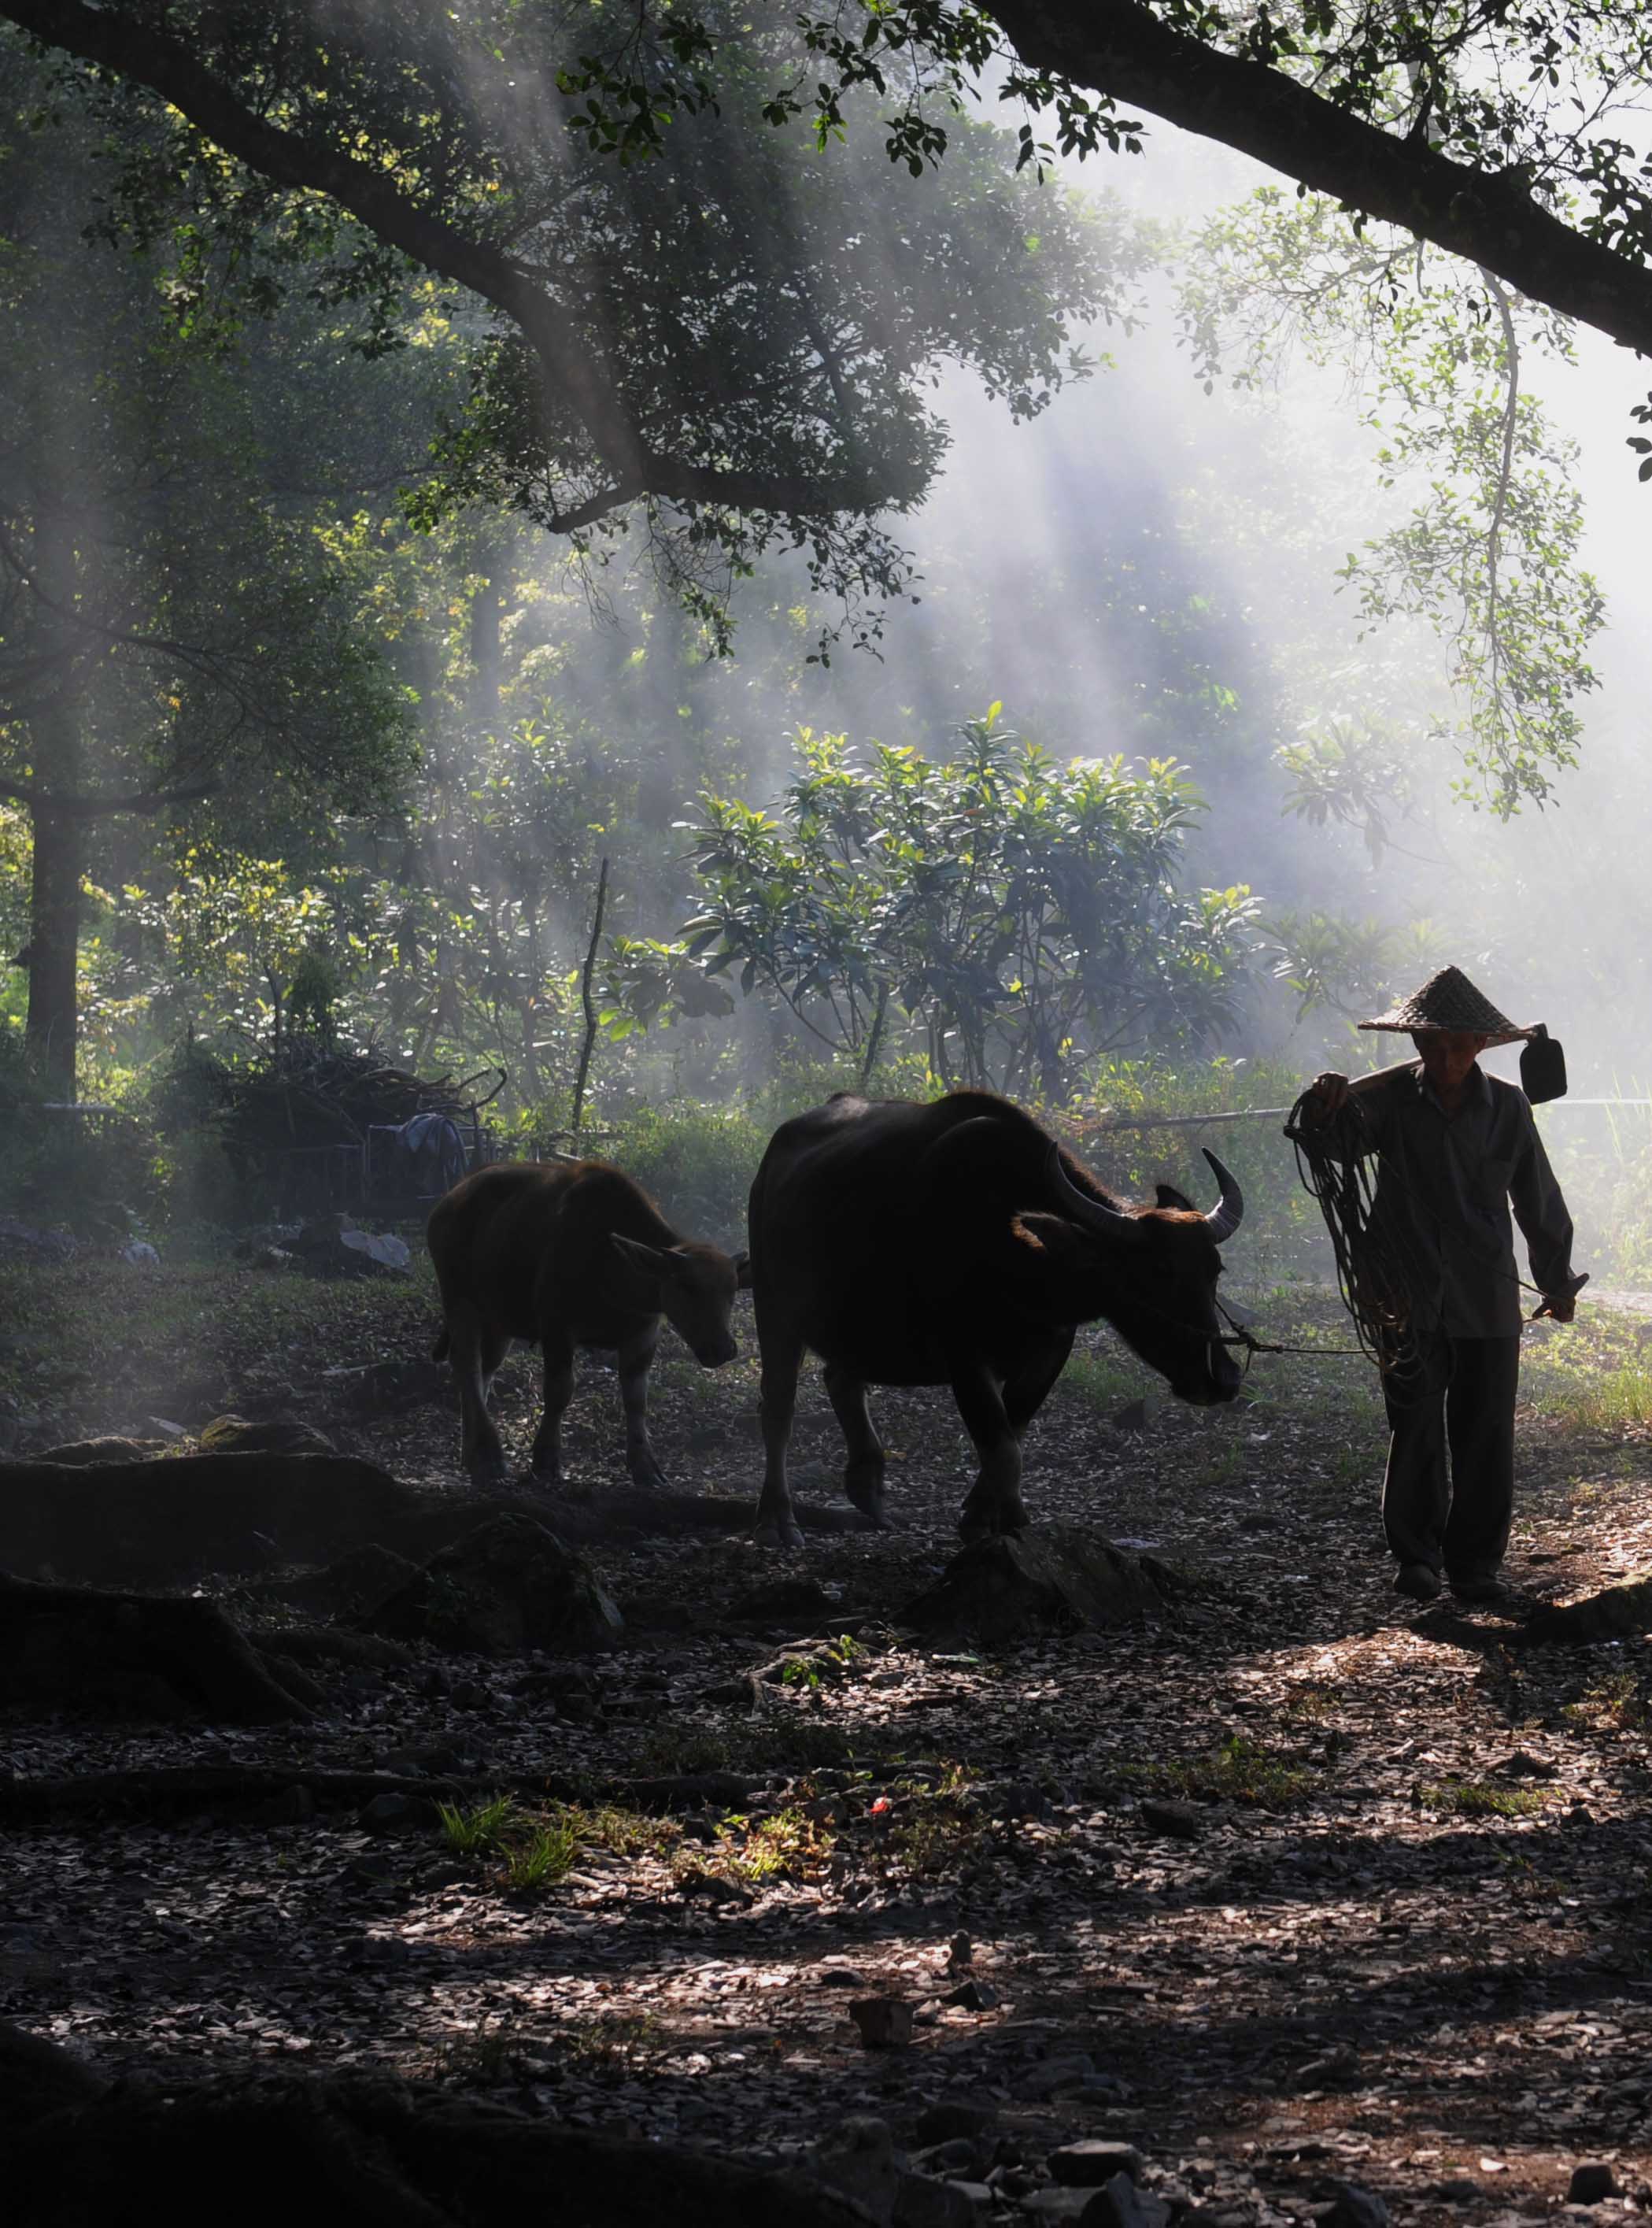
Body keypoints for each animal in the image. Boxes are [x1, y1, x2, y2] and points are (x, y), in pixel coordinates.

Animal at [427, 1158, 752, 1488]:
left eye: (732, 1290)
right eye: (687, 1286)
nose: (723, 1348)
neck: (610, 1266)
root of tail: (448, 1202)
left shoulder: (644, 1334)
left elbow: (637, 1399)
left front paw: (645, 1465)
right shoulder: (556, 1326)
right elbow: (559, 1390)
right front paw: (545, 1462)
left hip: (498, 1319)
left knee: (485, 1369)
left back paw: (471, 1453)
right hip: (459, 1300)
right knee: (466, 1364)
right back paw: (487, 1456)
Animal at [748, 1091, 1247, 1550]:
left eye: (1215, 1271)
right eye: (1153, 1276)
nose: (1221, 1378)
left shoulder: (1052, 1348)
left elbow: (1014, 1433)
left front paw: (990, 1513)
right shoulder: (965, 1355)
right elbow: (1003, 1447)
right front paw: (998, 1521)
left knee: (842, 1378)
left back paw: (867, 1486)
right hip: (773, 1307)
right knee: (778, 1409)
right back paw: (778, 1517)